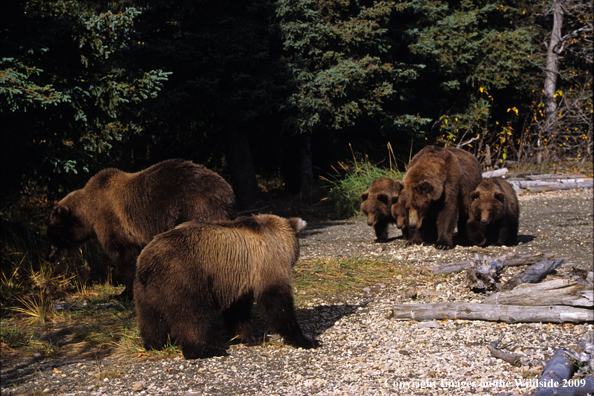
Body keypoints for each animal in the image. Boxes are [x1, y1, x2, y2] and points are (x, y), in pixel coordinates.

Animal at [46, 159, 236, 298]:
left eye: (53, 233)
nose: (50, 257)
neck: (91, 214)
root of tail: (227, 190)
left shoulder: (114, 223)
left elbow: (124, 258)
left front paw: (124, 293)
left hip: (194, 207)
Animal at [135, 215, 316, 360]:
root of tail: (147, 263)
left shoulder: (238, 280)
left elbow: (238, 311)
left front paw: (250, 338)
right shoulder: (266, 263)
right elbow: (278, 302)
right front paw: (305, 340)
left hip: (146, 291)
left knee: (151, 320)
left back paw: (154, 344)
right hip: (184, 279)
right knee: (192, 318)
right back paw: (206, 351)